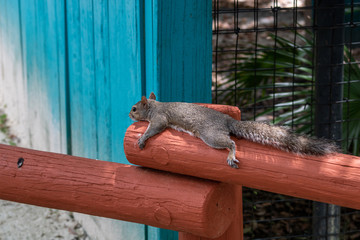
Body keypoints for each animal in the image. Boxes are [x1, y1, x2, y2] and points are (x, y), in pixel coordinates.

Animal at [129, 92, 338, 169]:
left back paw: (231, 155)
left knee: (230, 142)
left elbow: (154, 128)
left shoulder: (159, 118)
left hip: (211, 135)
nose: (129, 114)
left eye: (134, 108)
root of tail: (228, 121)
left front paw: (142, 139)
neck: (155, 106)